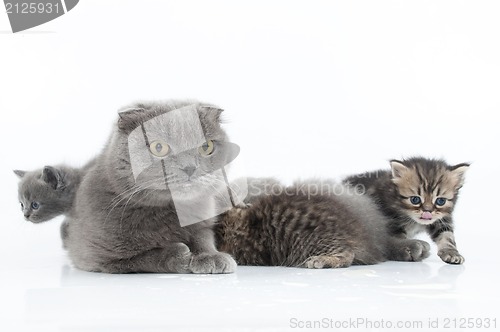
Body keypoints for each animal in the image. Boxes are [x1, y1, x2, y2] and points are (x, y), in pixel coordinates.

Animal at [62, 100, 238, 274]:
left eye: (206, 147)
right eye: (158, 147)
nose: (189, 167)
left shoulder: (203, 222)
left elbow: (203, 237)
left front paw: (210, 256)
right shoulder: (99, 257)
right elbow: (143, 259)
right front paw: (177, 256)